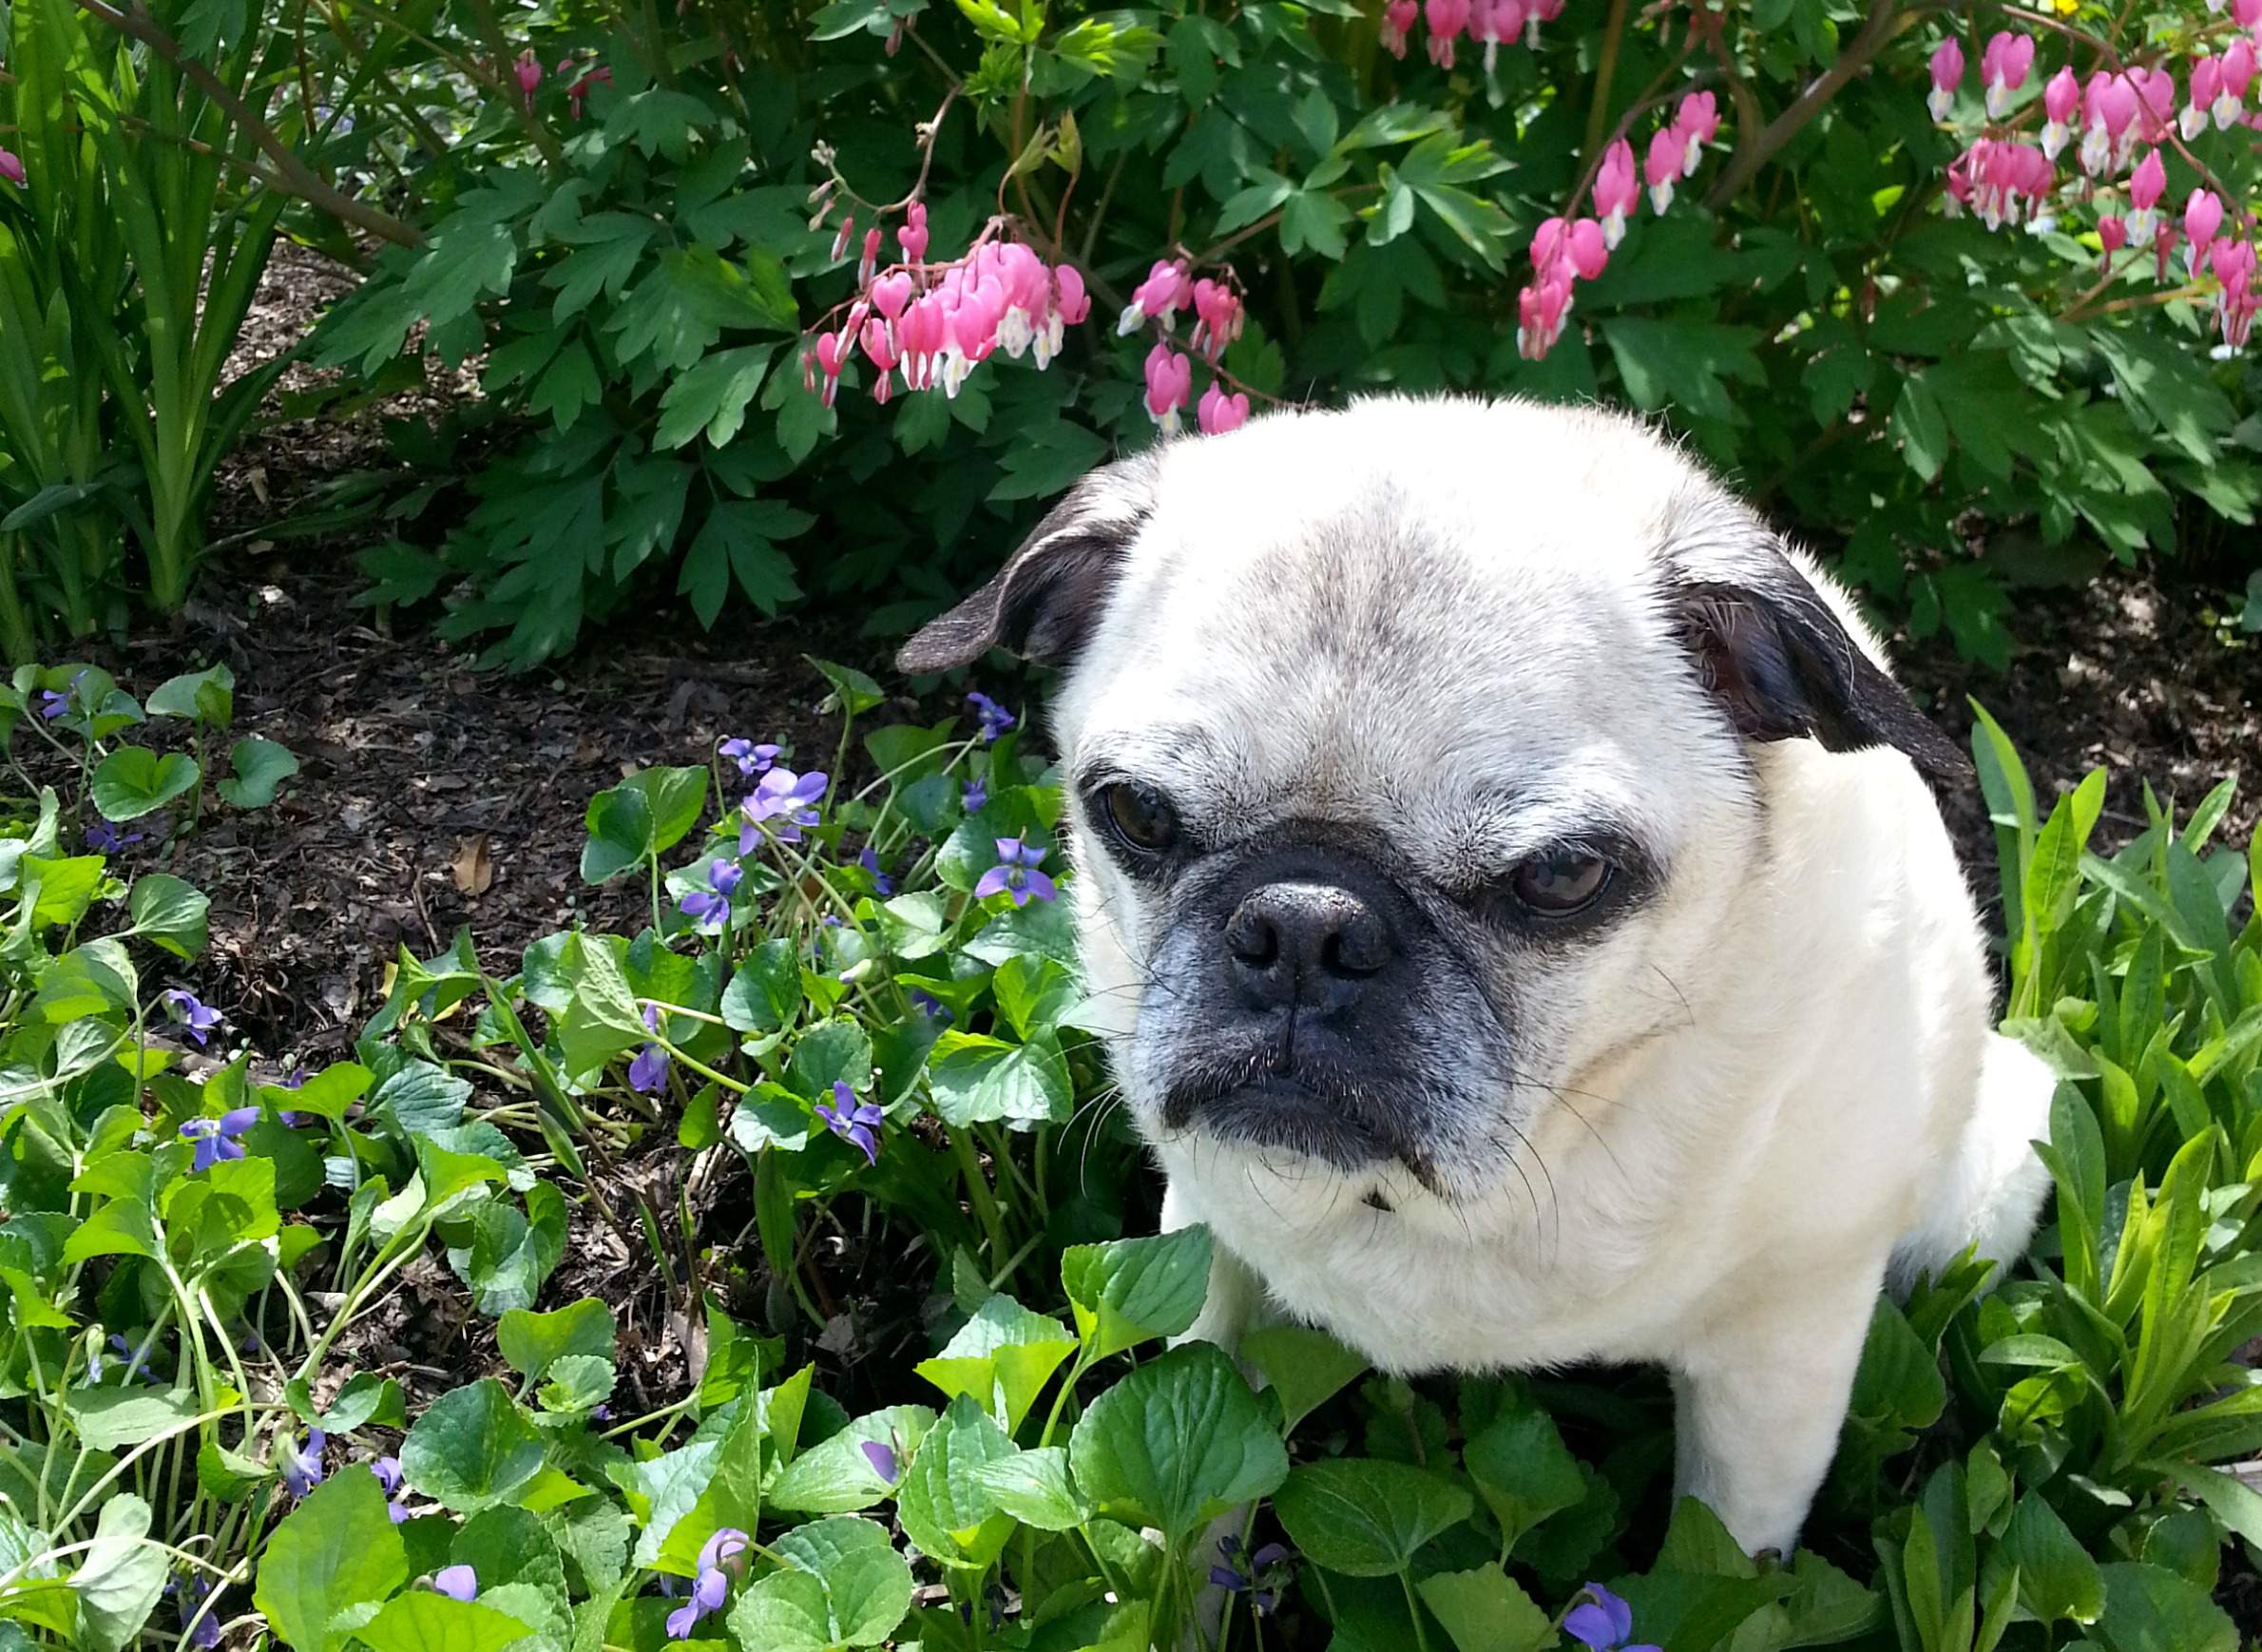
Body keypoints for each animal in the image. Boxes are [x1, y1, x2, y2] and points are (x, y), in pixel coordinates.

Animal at [891, 391, 2062, 1547]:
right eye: (1137, 814)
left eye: (1561, 875)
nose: (1304, 926)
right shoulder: (1207, 1257)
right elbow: (1192, 1469)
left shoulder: (1780, 1362)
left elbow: (1722, 1562)